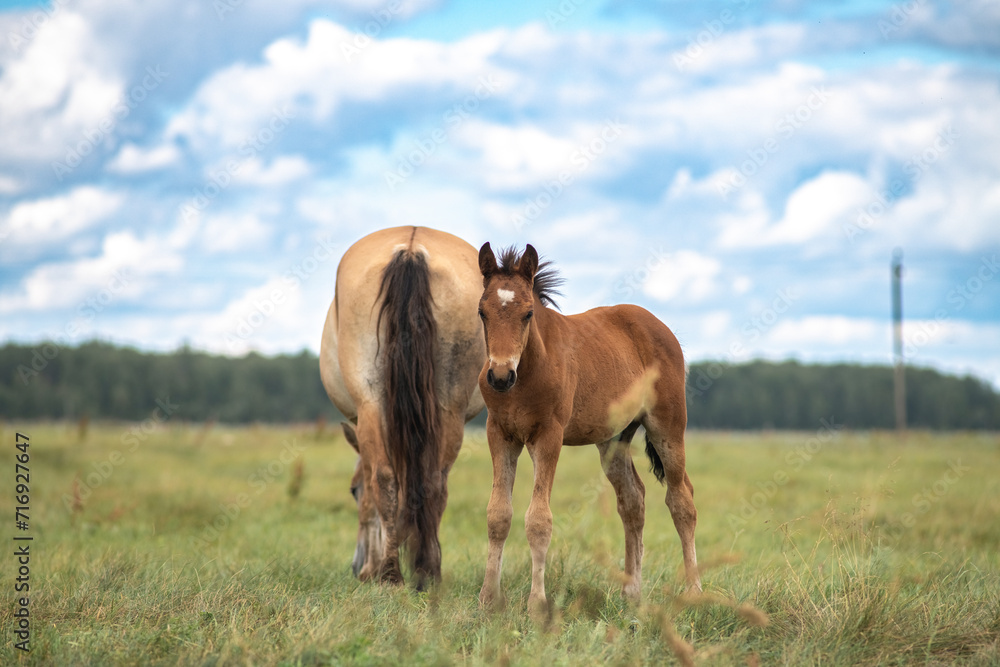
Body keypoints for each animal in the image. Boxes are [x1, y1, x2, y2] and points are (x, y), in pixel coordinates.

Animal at [319, 226, 486, 589]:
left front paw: (372, 568)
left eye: (352, 491)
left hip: (371, 404)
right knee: (432, 481)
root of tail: (411, 248)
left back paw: (389, 575)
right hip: (448, 409)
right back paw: (426, 573)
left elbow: (374, 494)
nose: (356, 566)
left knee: (385, 479)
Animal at [475, 242, 701, 614]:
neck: (529, 370)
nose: (500, 376)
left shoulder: (548, 436)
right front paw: (488, 600)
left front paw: (536, 605)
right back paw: (631, 593)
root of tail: (661, 327)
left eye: (528, 314)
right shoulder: (500, 433)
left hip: (667, 426)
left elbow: (539, 519)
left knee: (682, 500)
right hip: (614, 439)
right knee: (633, 500)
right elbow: (498, 514)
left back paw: (694, 592)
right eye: (482, 312)